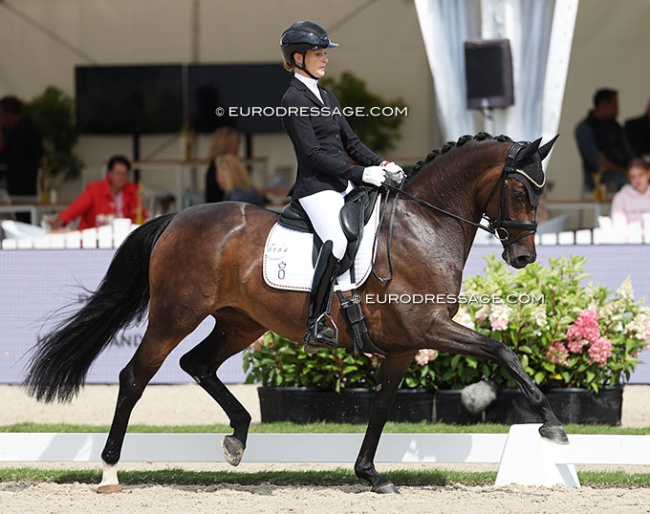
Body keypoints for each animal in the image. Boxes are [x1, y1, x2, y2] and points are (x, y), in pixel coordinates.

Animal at [23, 132, 566, 494]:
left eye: (541, 192)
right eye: (521, 191)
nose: (524, 258)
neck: (423, 224)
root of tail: (176, 218)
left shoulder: (404, 345)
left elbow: (382, 407)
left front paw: (370, 474)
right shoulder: (429, 328)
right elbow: (503, 351)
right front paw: (551, 424)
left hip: (240, 322)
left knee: (196, 364)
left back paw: (238, 437)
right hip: (174, 316)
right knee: (136, 376)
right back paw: (110, 471)